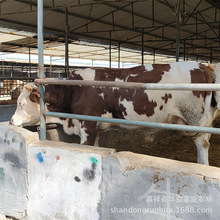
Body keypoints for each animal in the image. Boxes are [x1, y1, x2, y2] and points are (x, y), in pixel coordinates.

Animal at [10, 62, 220, 165]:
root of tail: (203, 66)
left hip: (195, 117)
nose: (11, 121)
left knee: (202, 143)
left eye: (21, 103)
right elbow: (95, 149)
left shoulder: (87, 125)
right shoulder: (95, 127)